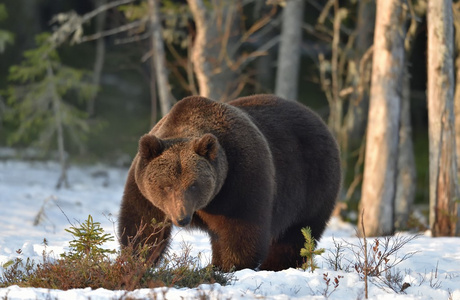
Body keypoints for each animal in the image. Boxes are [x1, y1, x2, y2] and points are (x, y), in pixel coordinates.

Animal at [118, 94, 342, 272]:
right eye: (166, 186)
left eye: (194, 185)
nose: (182, 218)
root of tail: (317, 118)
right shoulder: (145, 193)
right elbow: (143, 227)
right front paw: (136, 260)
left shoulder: (239, 180)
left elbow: (240, 230)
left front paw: (228, 266)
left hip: (312, 183)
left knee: (297, 233)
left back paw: (276, 265)